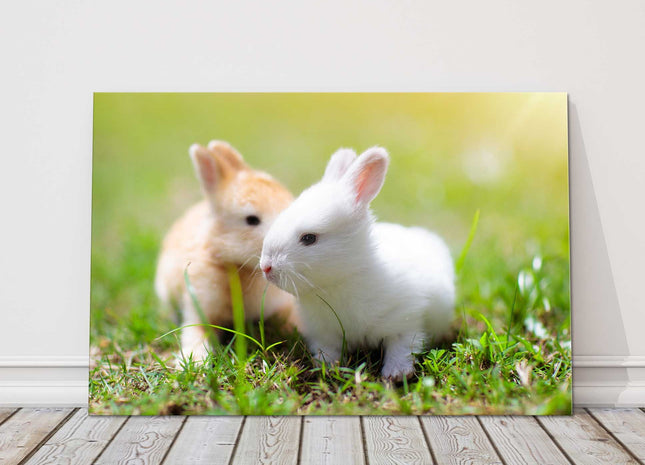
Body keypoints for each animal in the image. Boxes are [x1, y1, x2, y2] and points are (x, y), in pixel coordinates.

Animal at [259, 147, 455, 381]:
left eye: (309, 238)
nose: (266, 266)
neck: (345, 279)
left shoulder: (406, 319)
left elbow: (402, 346)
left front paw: (396, 374)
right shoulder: (324, 333)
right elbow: (328, 350)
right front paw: (326, 367)